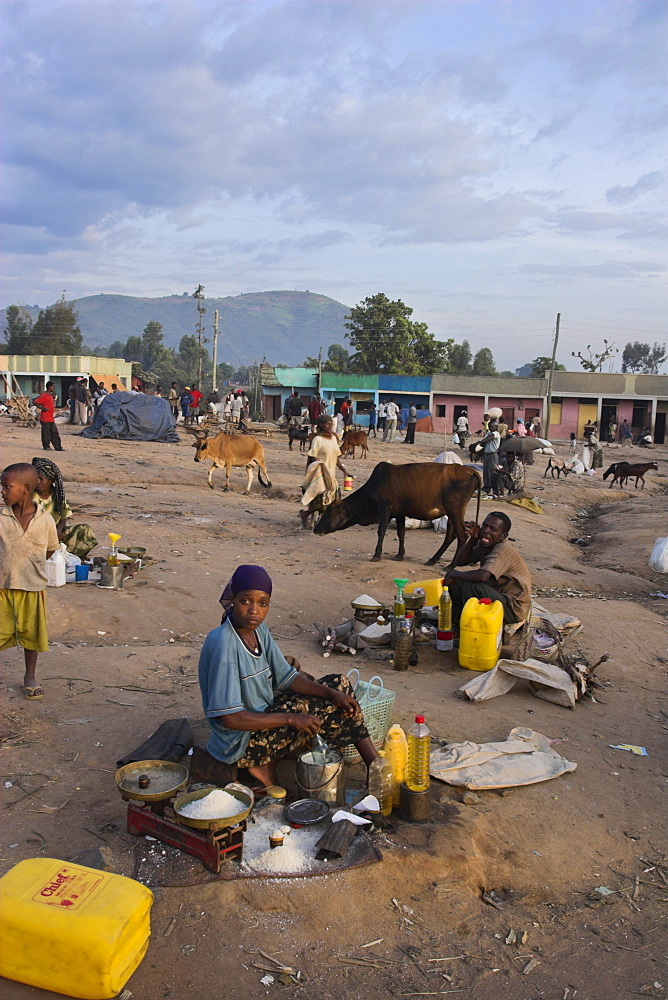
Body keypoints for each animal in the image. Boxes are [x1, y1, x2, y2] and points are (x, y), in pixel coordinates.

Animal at [314, 460, 480, 564]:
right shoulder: (400, 513)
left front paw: (377, 555)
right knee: (451, 535)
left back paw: (452, 565)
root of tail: (470, 471)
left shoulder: (385, 508)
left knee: (462, 535)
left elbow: (381, 531)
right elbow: (401, 533)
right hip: (452, 513)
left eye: (329, 513)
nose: (316, 529)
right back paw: (433, 560)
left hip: (455, 510)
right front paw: (400, 555)